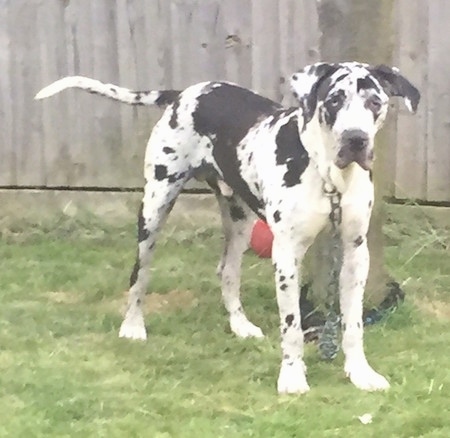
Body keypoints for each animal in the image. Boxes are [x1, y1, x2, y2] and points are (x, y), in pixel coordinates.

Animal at [34, 60, 418, 394]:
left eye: (375, 102)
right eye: (335, 99)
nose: (355, 139)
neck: (327, 176)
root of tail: (184, 93)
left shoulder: (355, 254)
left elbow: (353, 324)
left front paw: (360, 373)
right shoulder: (286, 256)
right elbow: (292, 326)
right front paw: (292, 377)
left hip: (239, 222)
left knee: (227, 271)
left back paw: (240, 325)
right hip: (154, 208)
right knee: (139, 275)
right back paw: (132, 326)